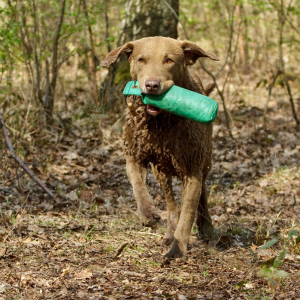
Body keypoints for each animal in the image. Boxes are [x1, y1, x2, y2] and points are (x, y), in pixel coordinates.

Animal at [101, 37, 218, 258]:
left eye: (169, 60)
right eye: (141, 59)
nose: (152, 85)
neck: (160, 124)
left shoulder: (192, 169)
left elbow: (187, 213)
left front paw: (177, 249)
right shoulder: (134, 156)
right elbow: (138, 186)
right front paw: (148, 214)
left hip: (205, 160)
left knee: (201, 196)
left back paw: (206, 227)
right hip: (161, 171)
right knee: (171, 204)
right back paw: (169, 233)